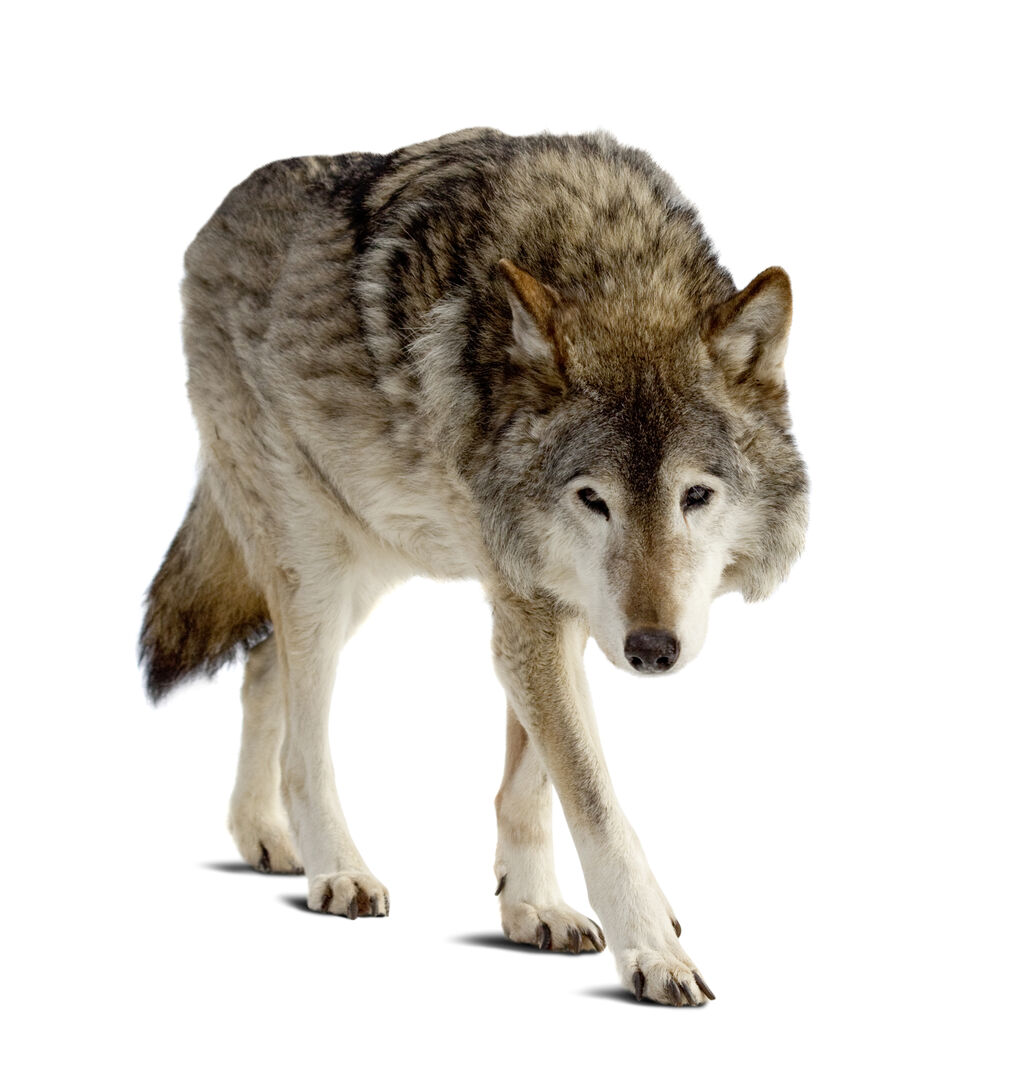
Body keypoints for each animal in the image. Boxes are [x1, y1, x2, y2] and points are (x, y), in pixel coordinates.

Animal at [140, 128, 807, 1006]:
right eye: (593, 500)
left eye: (696, 495)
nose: (651, 651)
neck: (611, 263)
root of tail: (213, 218)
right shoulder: (531, 607)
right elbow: (592, 795)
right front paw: (654, 951)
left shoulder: (553, 609)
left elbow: (535, 781)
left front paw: (533, 907)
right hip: (313, 563)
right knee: (303, 736)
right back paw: (336, 870)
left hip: (369, 562)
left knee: (258, 668)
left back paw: (266, 838)